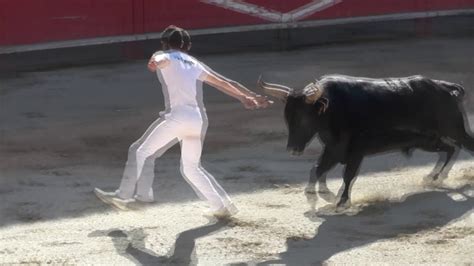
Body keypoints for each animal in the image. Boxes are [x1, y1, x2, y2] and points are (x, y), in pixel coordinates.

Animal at [260, 74, 474, 208]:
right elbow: (317, 169)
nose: (293, 149)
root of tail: (444, 87)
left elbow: (347, 176)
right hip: (428, 141)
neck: (333, 110)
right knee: (449, 149)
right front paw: (322, 195)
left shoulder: (355, 151)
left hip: (454, 130)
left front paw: (341, 202)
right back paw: (433, 177)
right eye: (287, 118)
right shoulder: (333, 149)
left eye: (305, 119)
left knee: (464, 145)